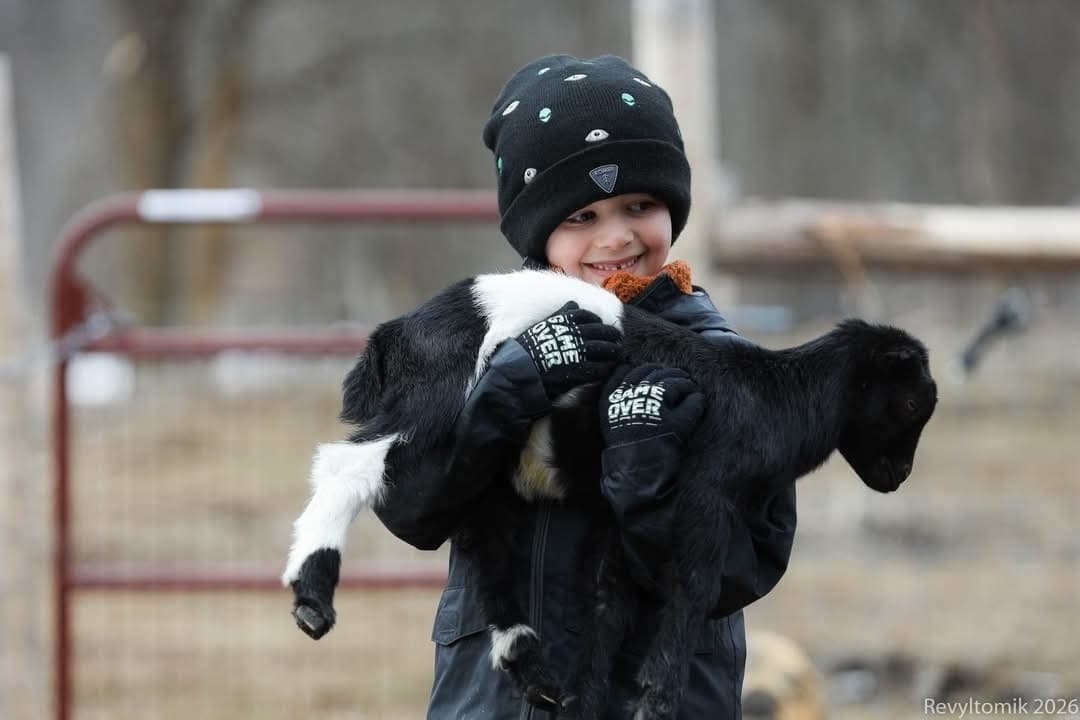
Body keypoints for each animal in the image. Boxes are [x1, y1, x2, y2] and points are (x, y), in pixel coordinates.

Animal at [282, 269, 937, 720]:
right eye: (910, 403)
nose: (899, 475)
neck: (771, 396)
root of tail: (392, 336)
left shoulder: (615, 512)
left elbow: (605, 601)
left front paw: (587, 699)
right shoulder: (708, 492)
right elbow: (695, 585)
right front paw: (658, 696)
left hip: (489, 459)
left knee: (491, 546)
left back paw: (529, 663)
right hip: (435, 409)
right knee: (345, 465)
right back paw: (313, 595)